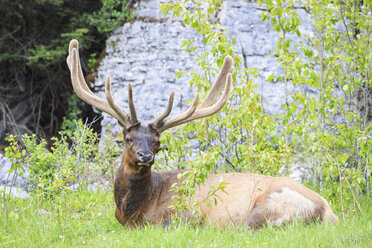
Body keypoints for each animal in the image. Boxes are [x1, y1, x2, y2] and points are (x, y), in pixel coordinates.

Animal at [65, 39, 338, 229]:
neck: (133, 210)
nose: (145, 156)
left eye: (157, 142)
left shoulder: (184, 215)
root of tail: (327, 211)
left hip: (267, 205)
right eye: (128, 139)